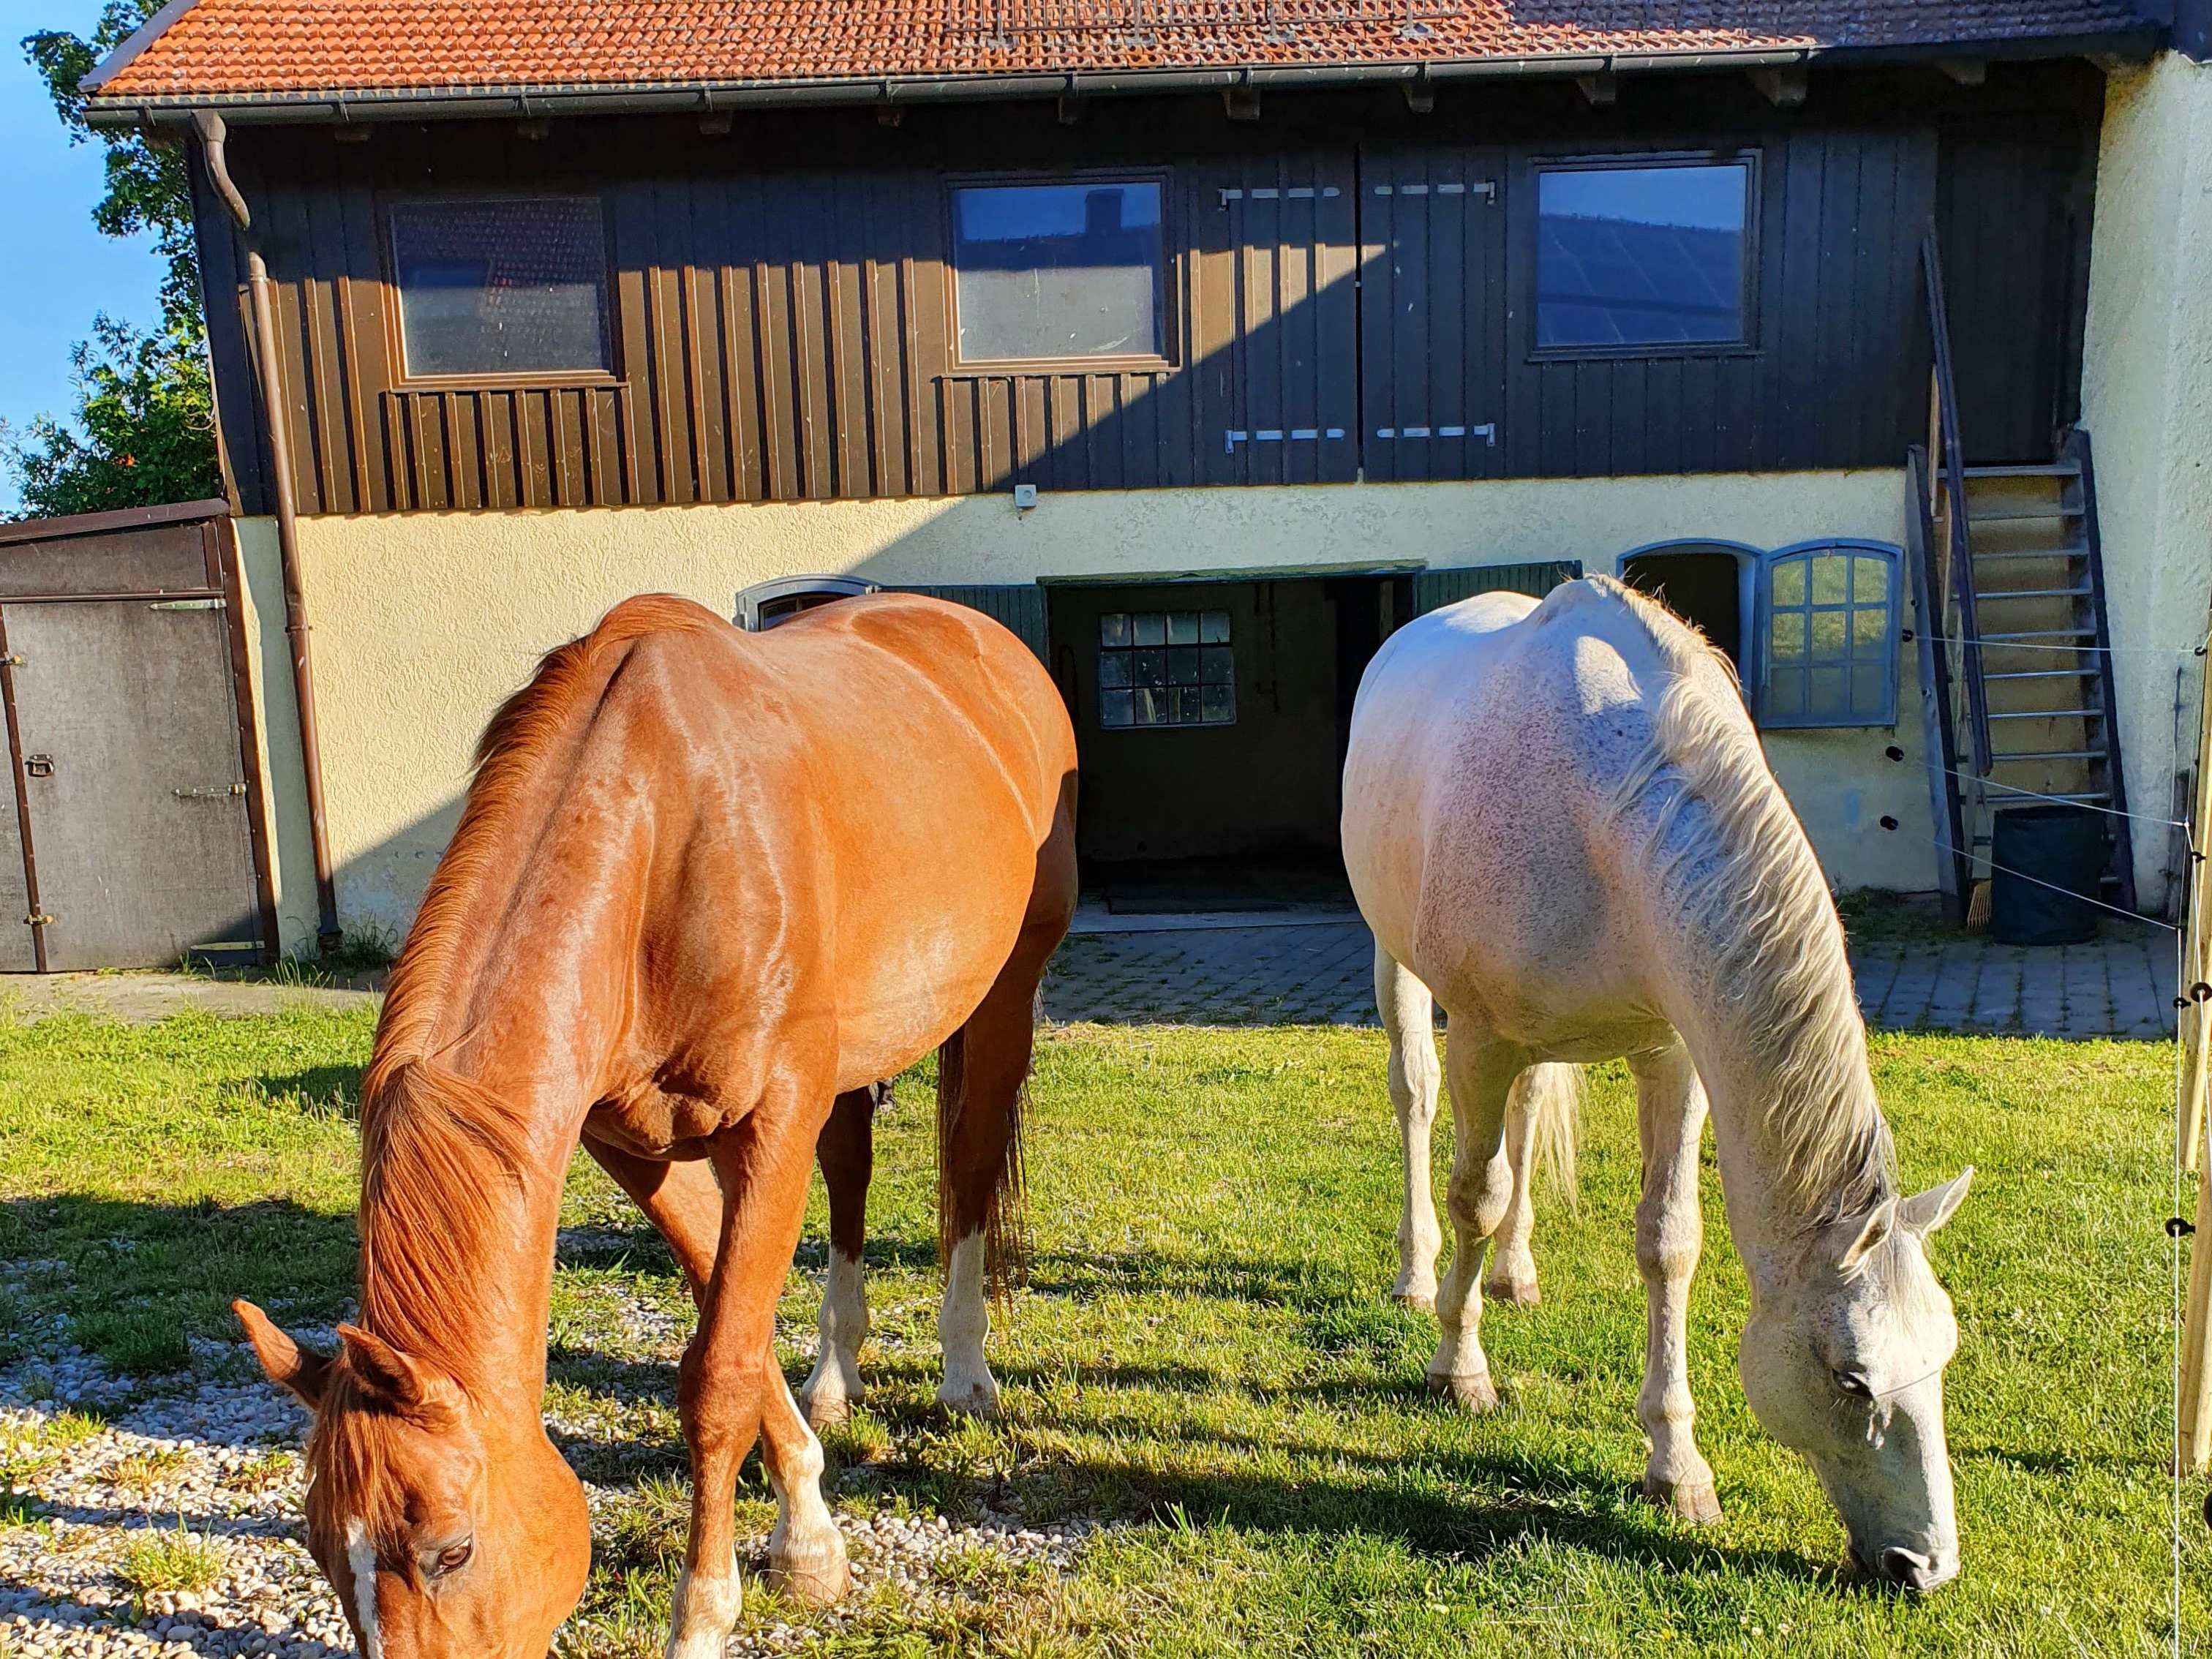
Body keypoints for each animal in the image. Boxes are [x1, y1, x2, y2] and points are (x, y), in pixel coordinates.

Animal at [230, 592, 1078, 1659]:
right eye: (315, 1548)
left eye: (452, 1550)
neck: (658, 839)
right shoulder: (633, 1145)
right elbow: (736, 1329)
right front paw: (810, 1524)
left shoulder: (770, 1123)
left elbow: (717, 1377)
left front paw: (717, 1609)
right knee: (851, 1173)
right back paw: (837, 1376)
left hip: (1002, 997)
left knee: (968, 1169)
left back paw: (965, 1371)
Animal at [1342, 574, 1972, 1593]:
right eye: (1851, 1379)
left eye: (1944, 1351)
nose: (1926, 1565)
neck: (1606, 812)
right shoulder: (1481, 1036)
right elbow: (1475, 1193)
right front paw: (1457, 1367)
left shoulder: (1674, 1056)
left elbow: (1669, 1242)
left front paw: (1677, 1470)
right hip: (1397, 962)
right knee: (1417, 1099)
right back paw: (1415, 1273)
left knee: (1526, 1118)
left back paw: (1515, 1275)